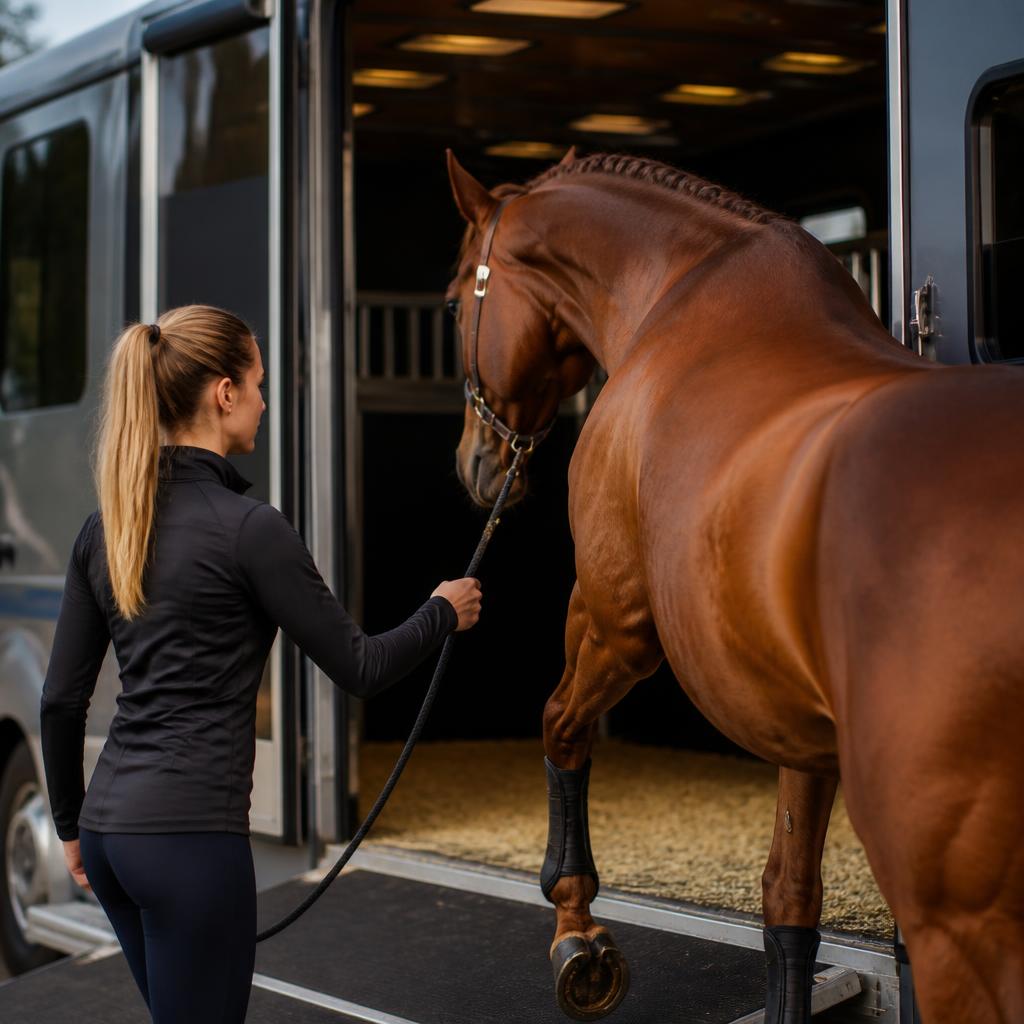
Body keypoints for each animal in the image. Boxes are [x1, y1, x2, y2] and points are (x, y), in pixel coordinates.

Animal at [443, 147, 1024, 1024]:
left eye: (452, 302)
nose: (476, 465)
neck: (681, 294)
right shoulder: (799, 721)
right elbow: (789, 904)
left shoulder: (613, 618)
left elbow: (560, 726)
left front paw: (579, 938)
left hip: (956, 916)